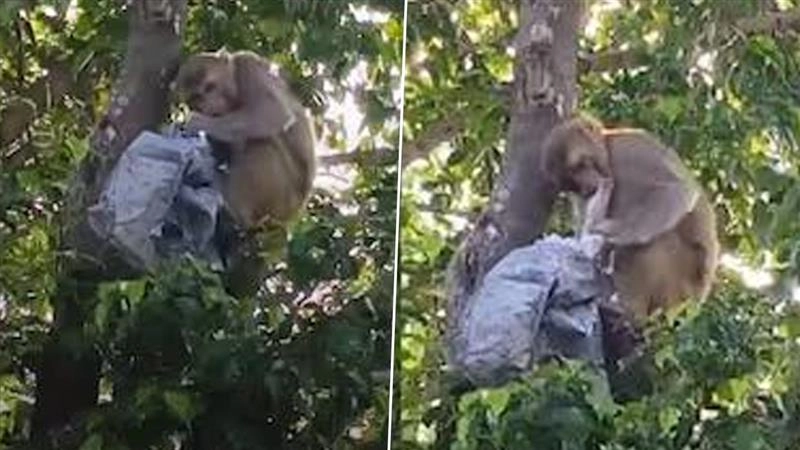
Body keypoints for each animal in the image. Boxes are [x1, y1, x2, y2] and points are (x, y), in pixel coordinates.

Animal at [175, 49, 316, 229]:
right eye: (196, 99)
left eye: (209, 87)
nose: (209, 106)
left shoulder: (248, 67)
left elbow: (273, 112)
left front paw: (198, 123)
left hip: (284, 201)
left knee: (260, 145)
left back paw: (237, 213)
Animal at [541, 116, 719, 324]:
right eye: (573, 182)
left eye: (580, 166)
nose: (587, 185)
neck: (609, 155)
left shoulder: (629, 148)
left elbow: (677, 191)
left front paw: (612, 238)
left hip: (680, 291)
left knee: (650, 243)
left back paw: (631, 311)